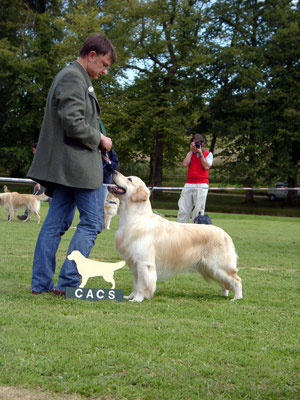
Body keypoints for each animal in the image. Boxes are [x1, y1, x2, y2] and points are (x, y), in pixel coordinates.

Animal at [109, 172, 243, 304]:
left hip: (218, 266)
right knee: (225, 283)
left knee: (237, 279)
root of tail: (225, 234)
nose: (113, 171)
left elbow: (142, 284)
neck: (136, 218)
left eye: (129, 179)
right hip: (211, 269)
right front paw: (130, 296)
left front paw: (137, 298)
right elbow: (136, 283)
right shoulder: (134, 263)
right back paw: (224, 295)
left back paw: (237, 298)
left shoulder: (144, 262)